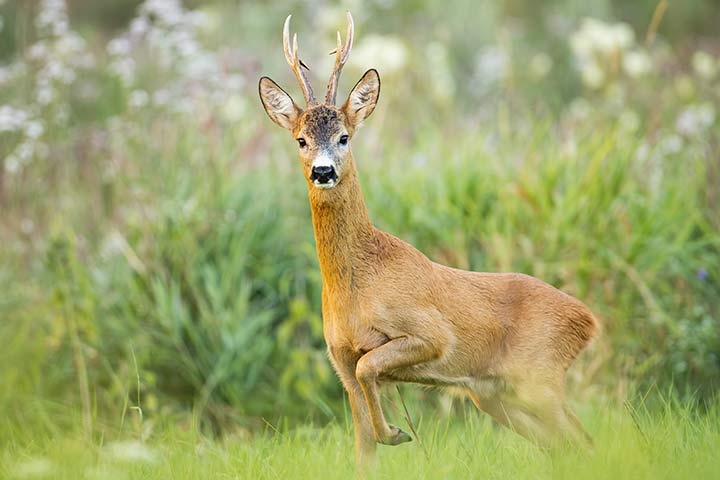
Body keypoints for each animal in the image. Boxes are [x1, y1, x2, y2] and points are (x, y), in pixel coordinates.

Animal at [258, 13, 596, 466]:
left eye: (345, 136)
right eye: (301, 139)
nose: (323, 171)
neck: (357, 284)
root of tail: (588, 320)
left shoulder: (430, 334)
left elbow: (371, 369)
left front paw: (396, 432)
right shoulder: (340, 360)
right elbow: (362, 450)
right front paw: (387, 435)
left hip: (538, 376)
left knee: (584, 439)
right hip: (495, 394)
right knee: (567, 444)